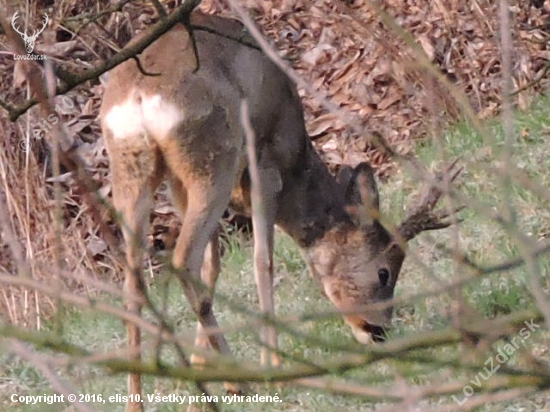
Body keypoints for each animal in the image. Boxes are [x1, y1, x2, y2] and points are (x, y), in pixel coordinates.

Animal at [100, 9, 462, 412]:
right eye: (384, 272)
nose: (378, 331)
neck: (296, 166)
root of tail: (139, 96)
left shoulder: (180, 185)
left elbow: (215, 266)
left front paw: (203, 368)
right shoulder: (266, 169)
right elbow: (262, 261)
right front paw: (270, 364)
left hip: (133, 168)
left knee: (135, 279)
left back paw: (141, 397)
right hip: (214, 157)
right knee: (183, 260)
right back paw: (242, 377)